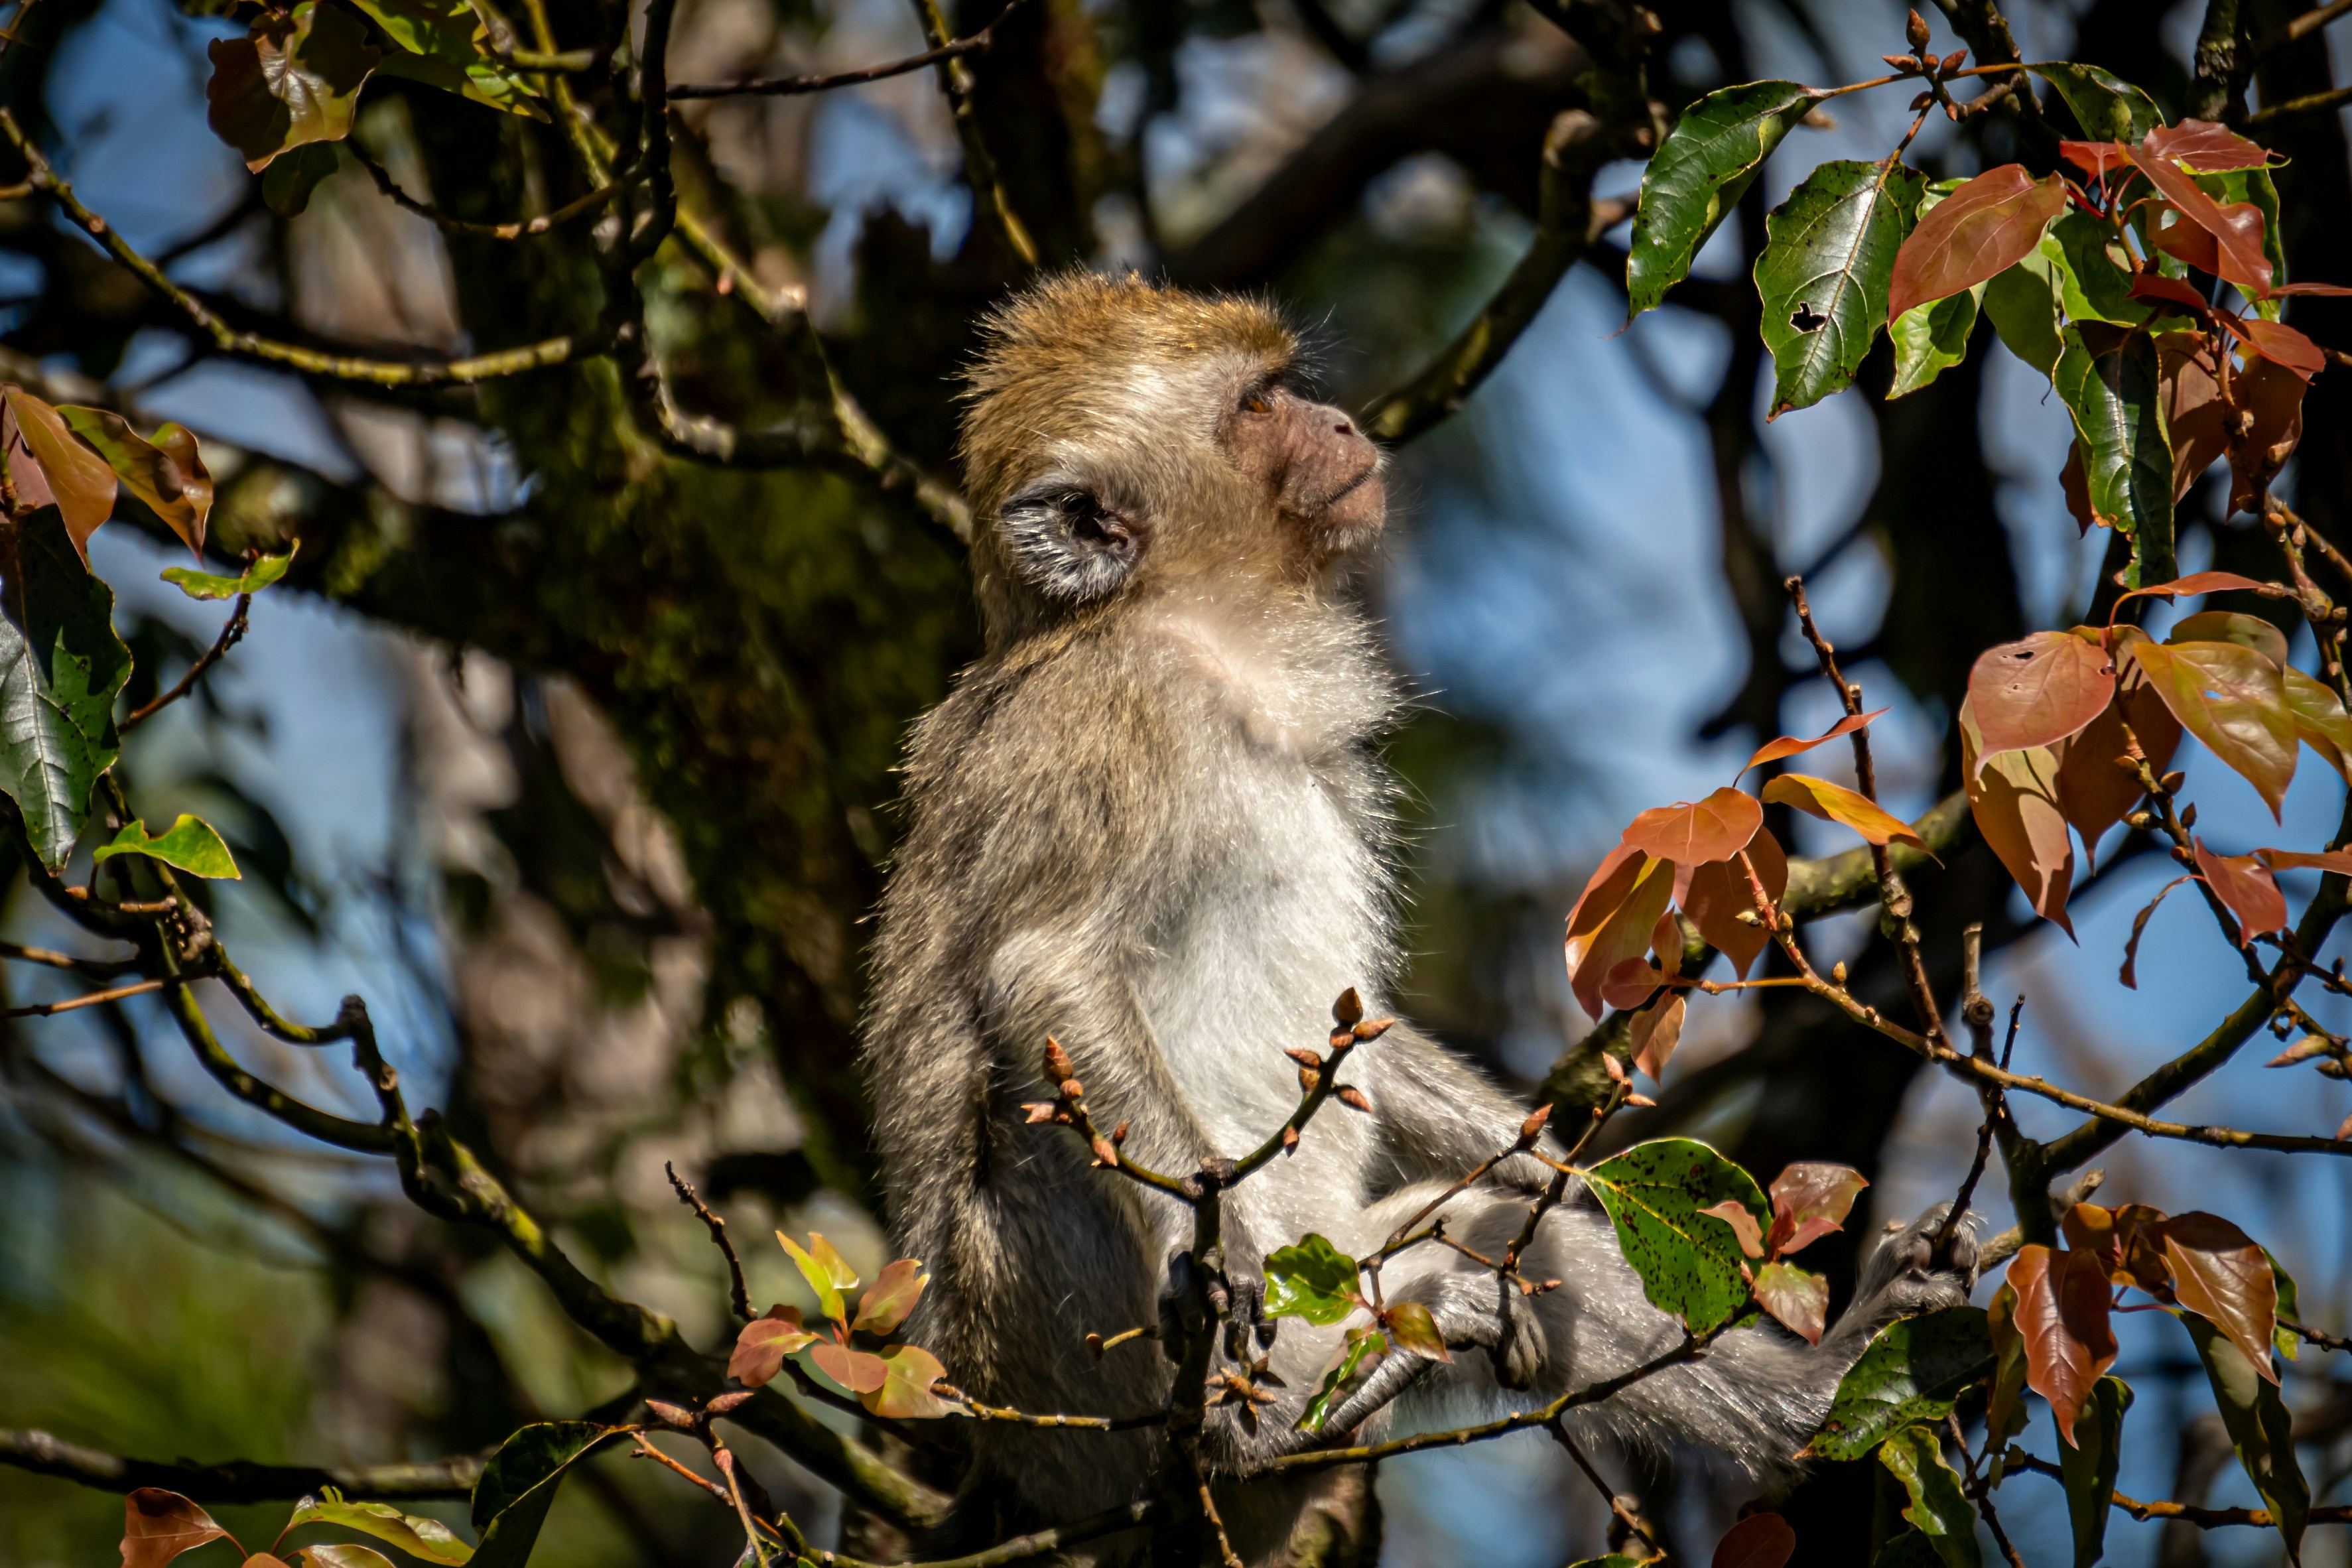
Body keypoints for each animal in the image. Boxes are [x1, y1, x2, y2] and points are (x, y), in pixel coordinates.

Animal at [858, 273, 1975, 1564]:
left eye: (1285, 385)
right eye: (1256, 405)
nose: (1341, 423)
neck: (1210, 642)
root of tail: (1019, 1480)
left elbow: (1376, 1051)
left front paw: (1567, 1171)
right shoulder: (1111, 718)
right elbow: (1045, 964)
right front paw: (1217, 1249)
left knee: (1495, 1240)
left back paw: (1815, 1389)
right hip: (1065, 1376)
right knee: (1029, 1111)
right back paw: (1244, 1427)